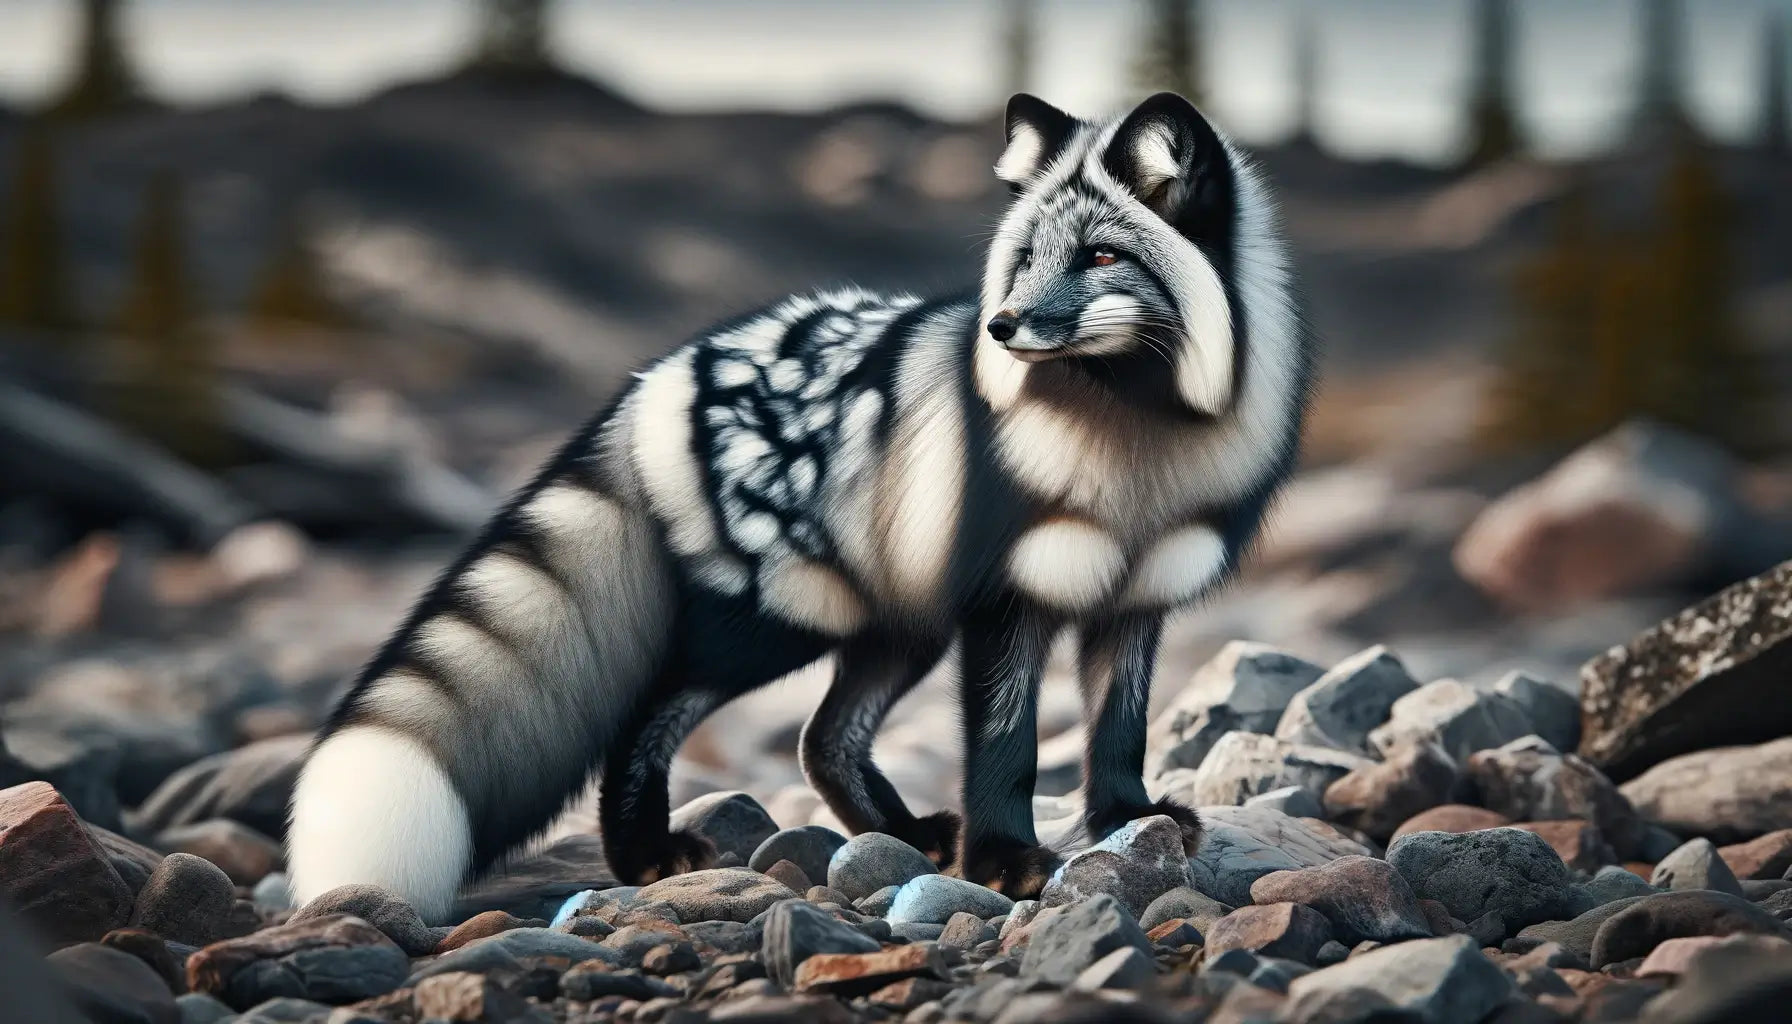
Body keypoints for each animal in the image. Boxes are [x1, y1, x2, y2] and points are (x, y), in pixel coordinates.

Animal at [286, 90, 1311, 918]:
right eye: (1024, 259)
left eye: (1100, 255)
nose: (1000, 326)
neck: (1132, 455)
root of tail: (656, 374)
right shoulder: (1004, 606)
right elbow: (1007, 747)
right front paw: (1006, 862)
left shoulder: (1135, 604)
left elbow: (1118, 735)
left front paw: (1127, 821)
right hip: (773, 624)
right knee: (650, 718)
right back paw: (647, 857)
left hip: (892, 626)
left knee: (824, 740)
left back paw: (908, 837)